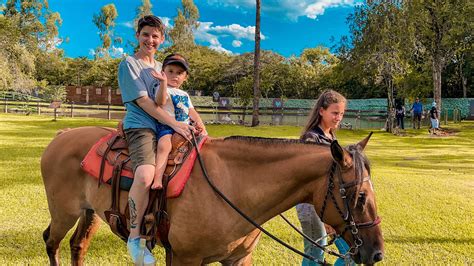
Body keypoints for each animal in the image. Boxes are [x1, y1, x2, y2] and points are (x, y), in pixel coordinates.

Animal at [39, 127, 382, 264]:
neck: (233, 186)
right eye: (360, 197)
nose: (377, 253)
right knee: (51, 242)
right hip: (63, 213)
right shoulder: (186, 258)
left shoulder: (238, 259)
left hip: (90, 213)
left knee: (77, 246)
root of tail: (62, 135)